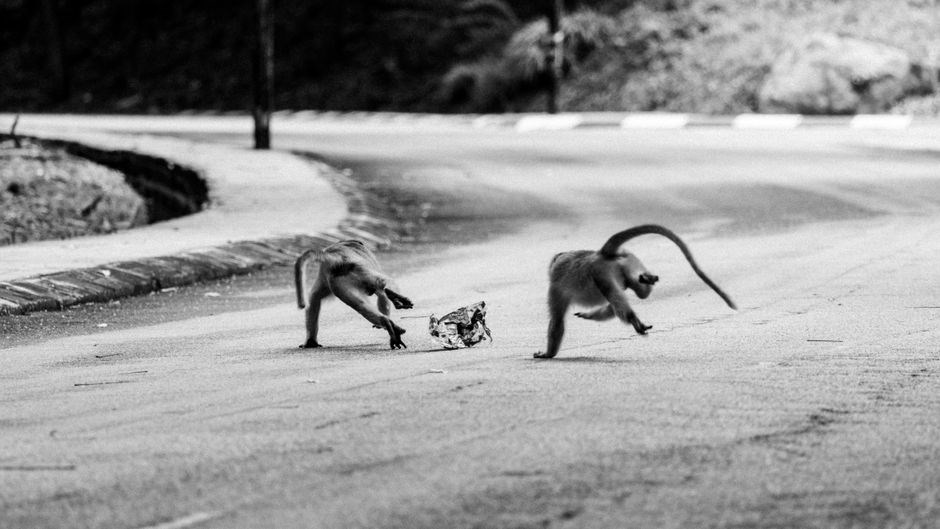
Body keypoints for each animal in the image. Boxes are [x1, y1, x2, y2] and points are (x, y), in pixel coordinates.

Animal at [534, 224, 737, 359]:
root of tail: (601, 254)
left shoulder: (556, 288)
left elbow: (557, 321)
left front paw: (547, 354)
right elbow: (611, 308)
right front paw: (588, 315)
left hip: (600, 271)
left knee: (615, 297)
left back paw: (632, 316)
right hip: (627, 261)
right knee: (636, 292)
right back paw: (646, 280)